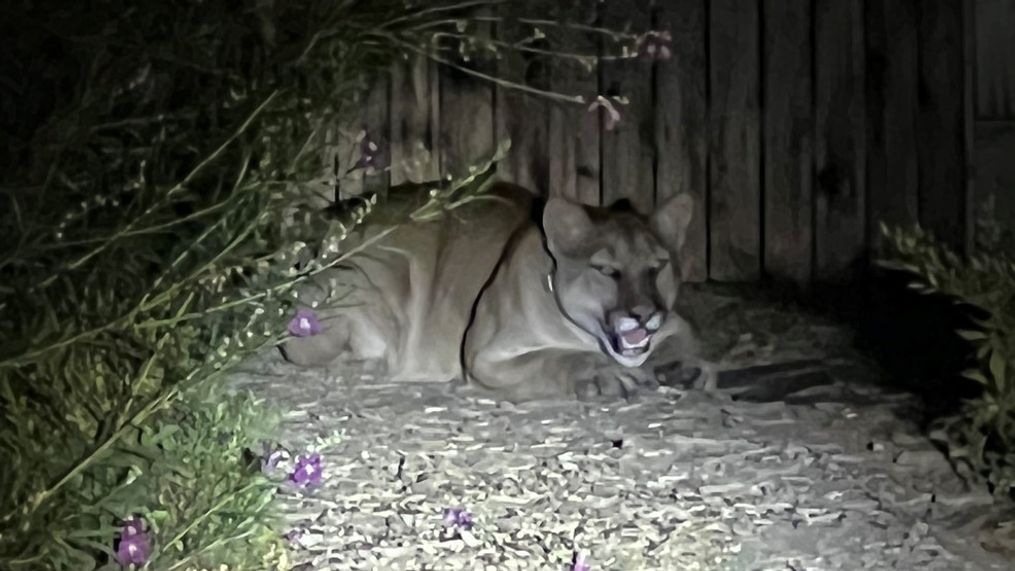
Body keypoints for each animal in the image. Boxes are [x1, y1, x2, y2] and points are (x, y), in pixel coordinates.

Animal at [278, 180, 706, 399]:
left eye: (658, 266)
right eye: (606, 270)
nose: (644, 315)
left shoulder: (674, 321)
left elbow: (684, 336)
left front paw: (682, 367)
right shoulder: (486, 356)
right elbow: (556, 357)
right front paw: (603, 373)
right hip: (380, 271)